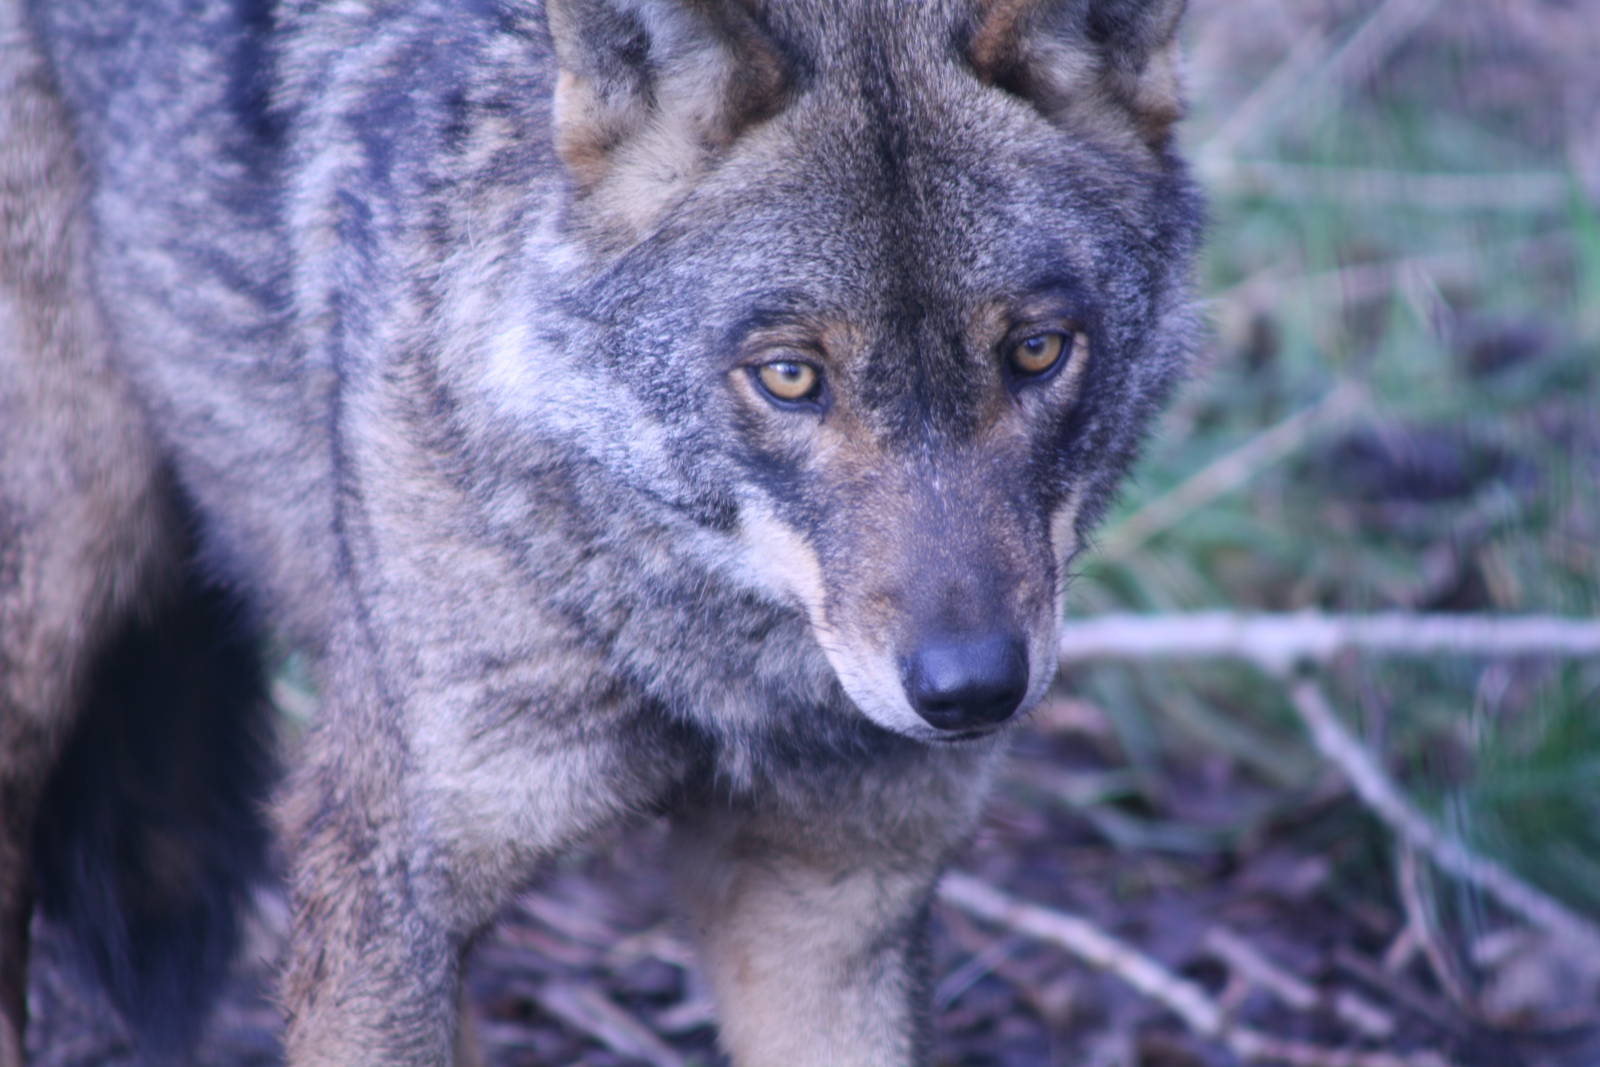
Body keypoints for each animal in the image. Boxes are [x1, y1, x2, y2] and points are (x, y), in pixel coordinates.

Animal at [0, 0, 1201, 1062]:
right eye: (790, 376)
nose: (971, 688)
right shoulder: (381, 884)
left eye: (1037, 352)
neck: (708, 661)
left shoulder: (827, 906)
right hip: (56, 602)